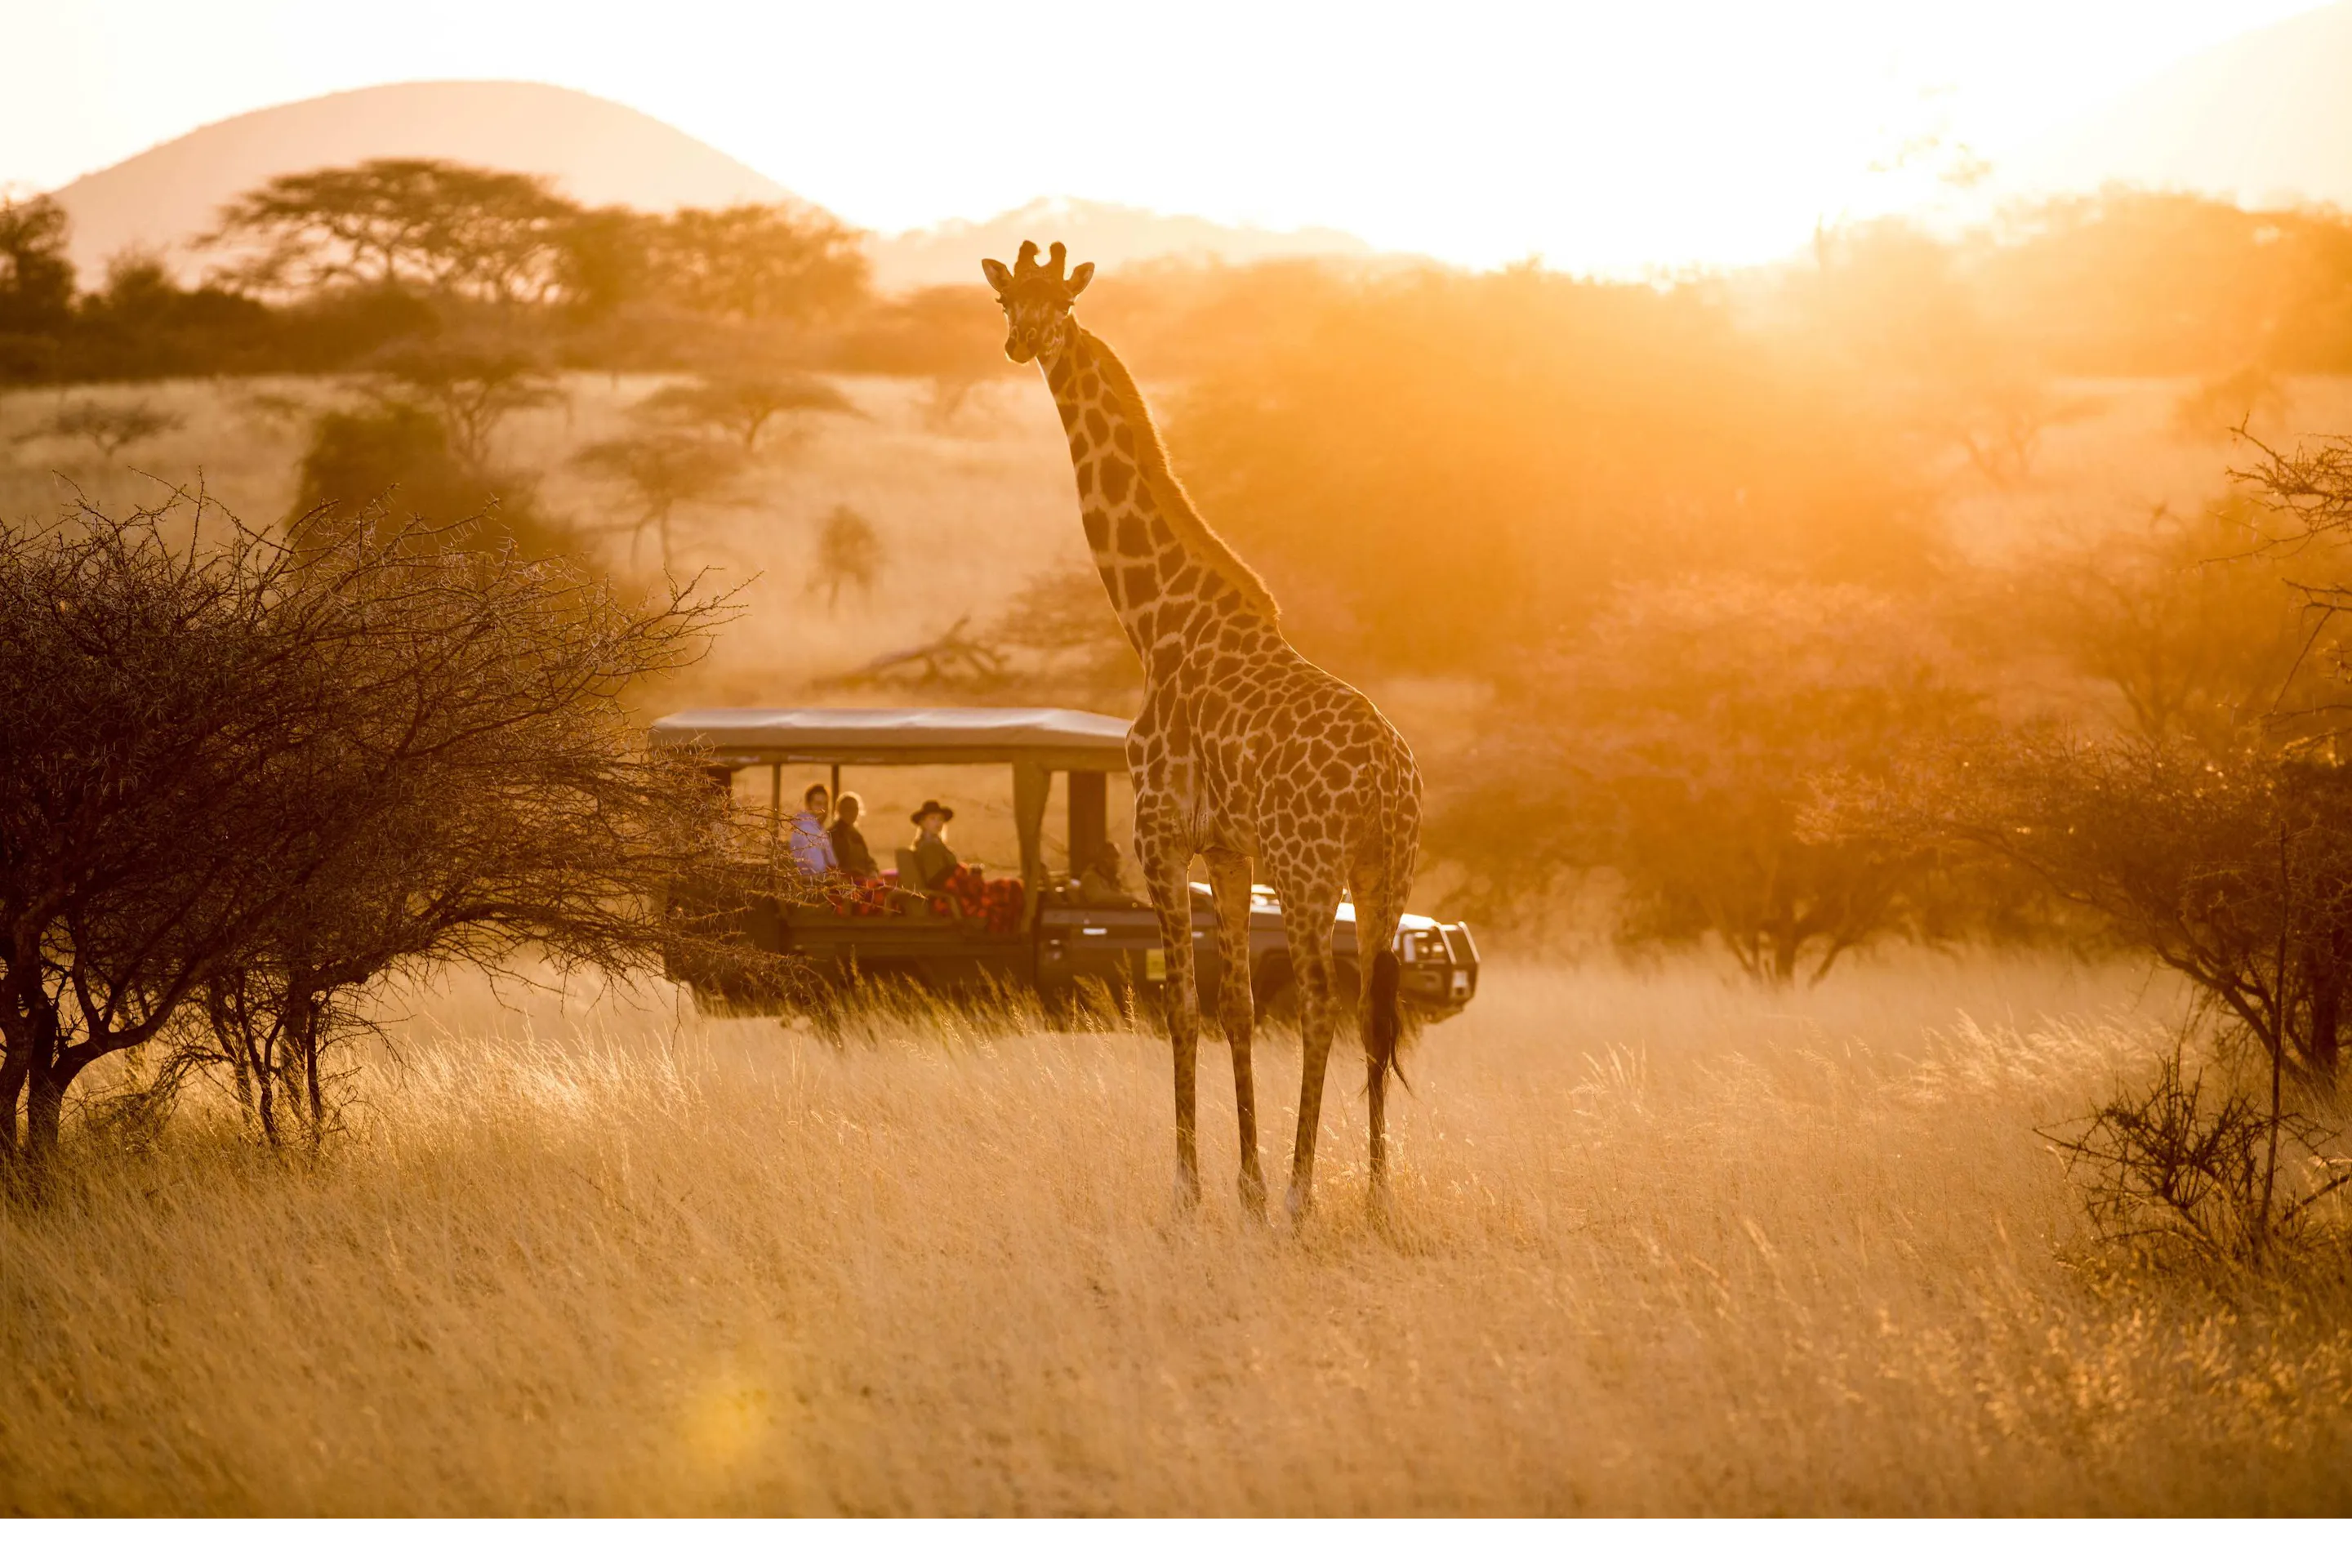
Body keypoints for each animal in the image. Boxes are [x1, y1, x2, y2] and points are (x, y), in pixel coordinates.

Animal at [984, 241, 1423, 1219]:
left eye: (1063, 302)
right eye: (1005, 298)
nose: (1022, 342)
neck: (1156, 624)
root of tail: (1389, 777)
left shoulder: (1160, 833)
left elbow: (1184, 1007)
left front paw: (1191, 1191)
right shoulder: (1227, 850)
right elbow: (1235, 1009)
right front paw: (1245, 1187)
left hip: (1309, 869)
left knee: (1325, 1006)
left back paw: (1306, 1195)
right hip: (1388, 870)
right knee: (1376, 1013)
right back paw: (1376, 1197)